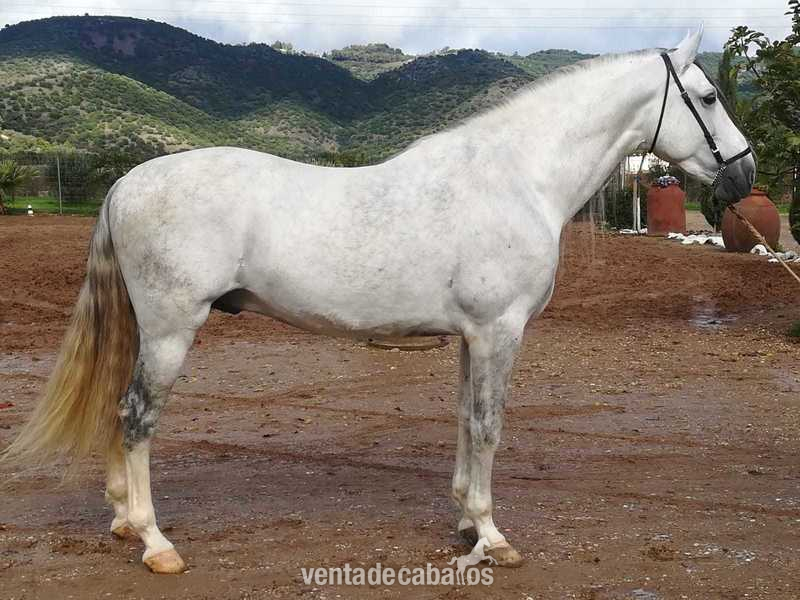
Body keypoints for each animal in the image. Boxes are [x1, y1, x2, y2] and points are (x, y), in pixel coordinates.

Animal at [3, 28, 755, 574]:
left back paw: (123, 520)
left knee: (116, 407)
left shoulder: (473, 337)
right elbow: (489, 427)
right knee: (136, 418)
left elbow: (465, 422)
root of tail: (126, 182)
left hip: (143, 329)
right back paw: (156, 542)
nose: (745, 174)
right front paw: (493, 536)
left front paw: (465, 522)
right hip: (168, 331)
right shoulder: (499, 331)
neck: (515, 178)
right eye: (707, 96)